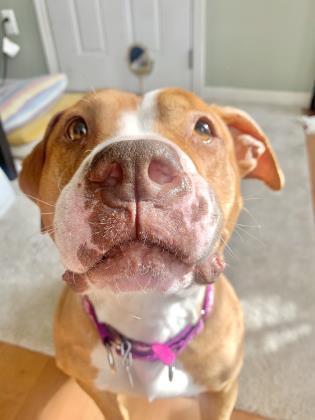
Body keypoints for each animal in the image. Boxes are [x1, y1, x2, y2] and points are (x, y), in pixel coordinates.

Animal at [19, 87, 286, 418]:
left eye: (204, 128)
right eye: (76, 128)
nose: (134, 162)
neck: (149, 312)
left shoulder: (222, 391)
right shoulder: (98, 390)